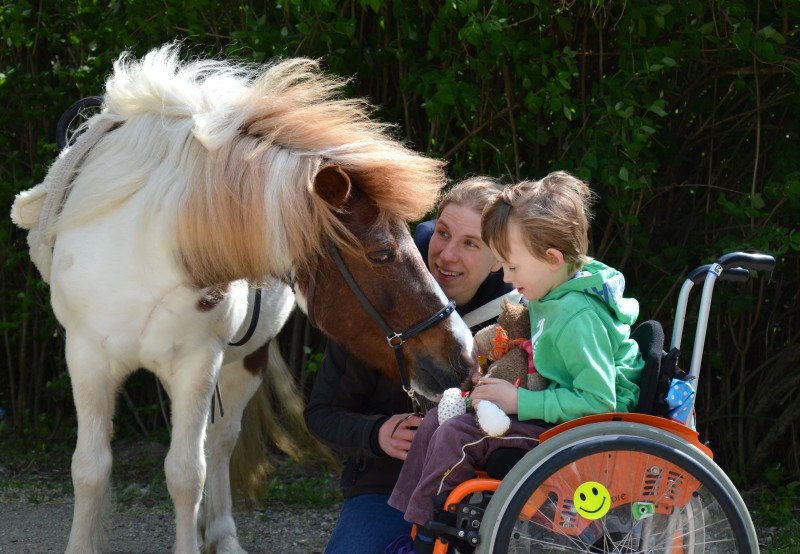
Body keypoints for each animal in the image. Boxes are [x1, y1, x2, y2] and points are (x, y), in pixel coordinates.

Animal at [10, 44, 476, 552]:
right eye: (382, 253)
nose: (464, 355)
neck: (142, 249)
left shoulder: (197, 364)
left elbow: (186, 473)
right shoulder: (87, 358)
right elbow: (90, 469)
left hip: (244, 362)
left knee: (217, 444)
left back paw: (221, 533)